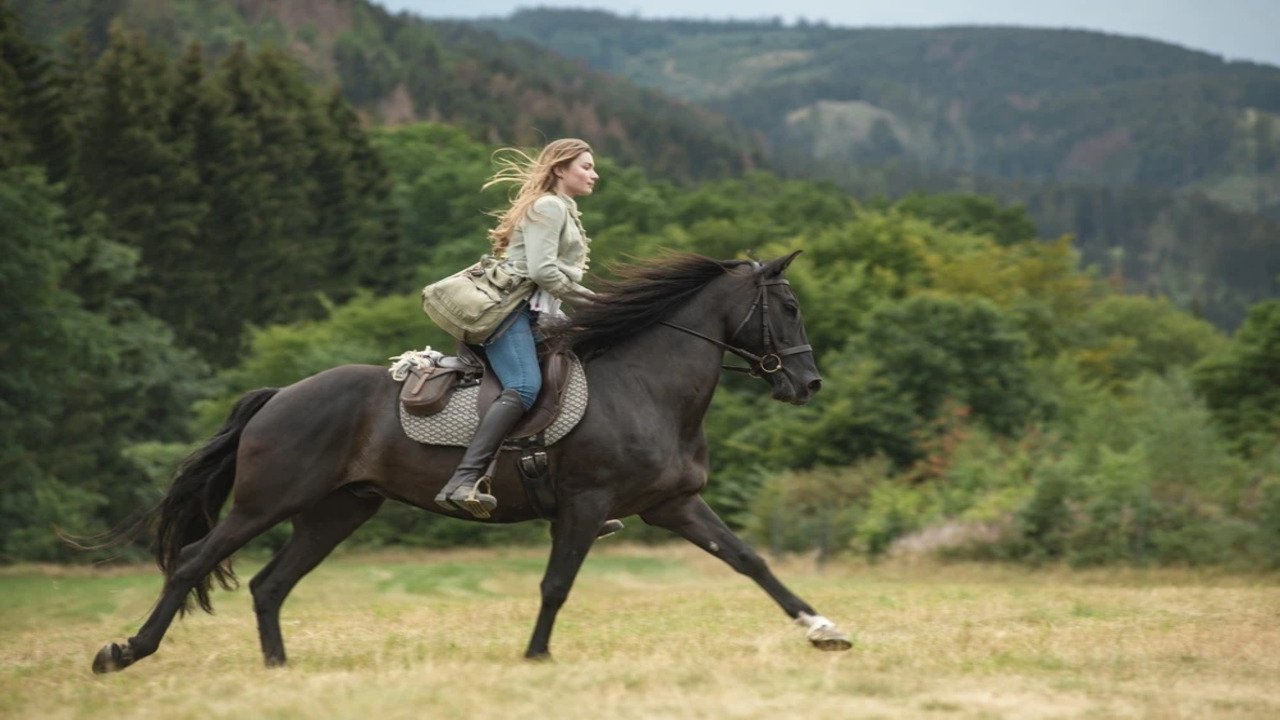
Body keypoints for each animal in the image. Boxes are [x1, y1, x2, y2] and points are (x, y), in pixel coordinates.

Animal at [90, 249, 849, 671]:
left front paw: (824, 629)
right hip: (264, 503)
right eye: (788, 307)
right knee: (195, 562)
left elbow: (749, 561)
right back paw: (125, 651)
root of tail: (280, 395)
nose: (809, 384)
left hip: (335, 512)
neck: (646, 388)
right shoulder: (586, 506)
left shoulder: (674, 505)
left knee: (269, 585)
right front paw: (536, 656)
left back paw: (279, 670)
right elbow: (556, 585)